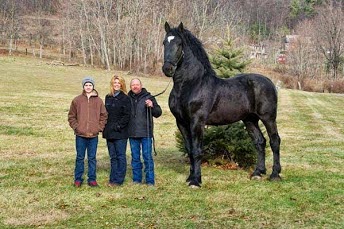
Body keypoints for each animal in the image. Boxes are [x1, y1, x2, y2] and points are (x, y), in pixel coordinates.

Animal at [163, 21, 280, 187]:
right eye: (164, 43)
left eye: (179, 44)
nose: (167, 69)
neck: (191, 84)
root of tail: (269, 82)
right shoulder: (181, 122)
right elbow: (190, 150)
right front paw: (190, 177)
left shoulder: (197, 122)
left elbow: (197, 151)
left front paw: (196, 181)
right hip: (250, 120)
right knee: (260, 142)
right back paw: (258, 173)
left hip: (268, 118)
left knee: (274, 141)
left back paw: (275, 174)